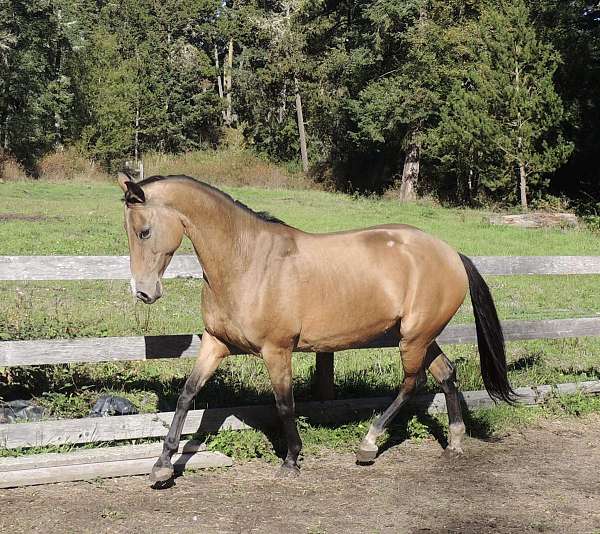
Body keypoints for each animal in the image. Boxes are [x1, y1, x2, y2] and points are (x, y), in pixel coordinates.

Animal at [117, 173, 516, 486]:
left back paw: (369, 444)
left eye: (144, 231)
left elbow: (284, 403)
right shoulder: (216, 343)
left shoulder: (277, 350)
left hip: (413, 338)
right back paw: (456, 442)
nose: (144, 292)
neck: (248, 262)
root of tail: (451, 253)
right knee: (446, 374)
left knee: (411, 382)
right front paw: (162, 467)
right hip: (421, 336)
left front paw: (291, 461)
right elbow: (188, 395)